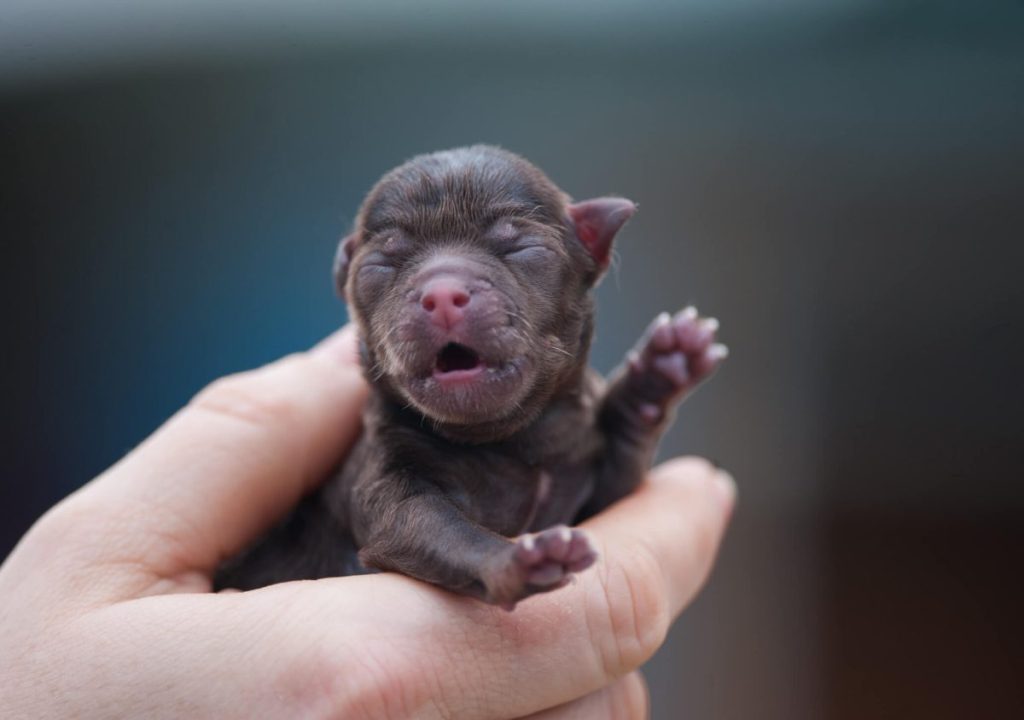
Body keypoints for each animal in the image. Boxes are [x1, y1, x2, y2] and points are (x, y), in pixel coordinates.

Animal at [214, 146, 729, 606]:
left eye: (519, 247)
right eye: (383, 263)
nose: (442, 294)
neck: (507, 444)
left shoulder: (592, 486)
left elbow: (621, 471)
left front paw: (660, 370)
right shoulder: (384, 482)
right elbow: (432, 527)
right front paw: (516, 560)